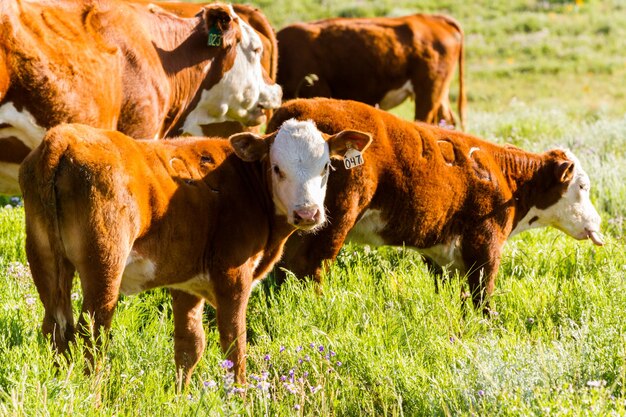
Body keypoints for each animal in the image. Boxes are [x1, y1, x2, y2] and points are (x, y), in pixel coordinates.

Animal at [18, 118, 370, 382]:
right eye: (277, 168)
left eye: (325, 167)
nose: (308, 213)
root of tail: (63, 138)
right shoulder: (233, 275)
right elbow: (235, 345)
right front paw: (240, 398)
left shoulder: (186, 281)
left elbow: (190, 345)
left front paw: (179, 396)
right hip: (104, 265)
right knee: (92, 333)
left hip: (44, 259)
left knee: (55, 329)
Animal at [266, 98, 604, 312]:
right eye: (583, 186)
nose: (597, 223)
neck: (505, 178)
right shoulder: (486, 243)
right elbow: (483, 296)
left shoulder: (442, 251)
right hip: (329, 223)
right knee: (310, 270)